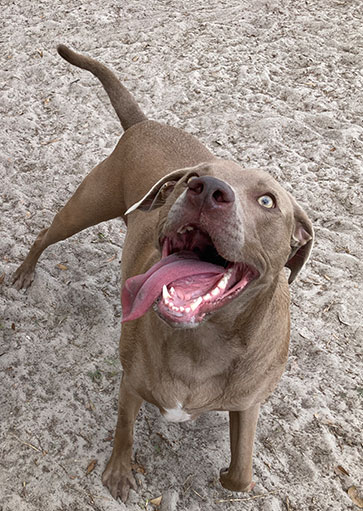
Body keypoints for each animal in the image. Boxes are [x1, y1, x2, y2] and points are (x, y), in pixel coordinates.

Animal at [12, 46, 314, 502]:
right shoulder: (132, 384)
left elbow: (241, 474)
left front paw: (226, 473)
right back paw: (24, 272)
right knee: (46, 233)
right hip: (84, 208)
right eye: (193, 177)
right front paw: (119, 473)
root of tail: (144, 123)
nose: (208, 189)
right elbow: (124, 429)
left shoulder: (249, 403)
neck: (202, 340)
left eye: (267, 200)